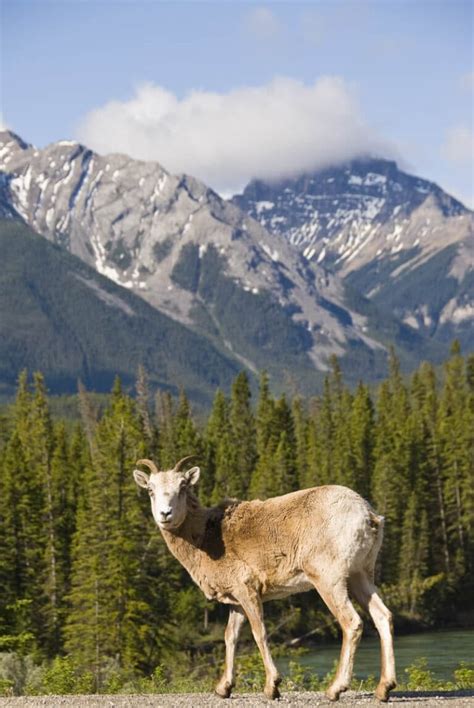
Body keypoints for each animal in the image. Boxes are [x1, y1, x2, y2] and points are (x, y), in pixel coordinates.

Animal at [133, 460, 396, 704]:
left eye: (182, 486)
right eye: (151, 490)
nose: (165, 514)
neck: (205, 538)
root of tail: (369, 517)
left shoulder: (248, 591)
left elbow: (259, 633)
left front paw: (272, 688)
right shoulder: (236, 601)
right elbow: (230, 637)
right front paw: (223, 689)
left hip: (329, 580)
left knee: (352, 623)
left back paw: (334, 690)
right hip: (361, 575)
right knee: (383, 616)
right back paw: (384, 689)